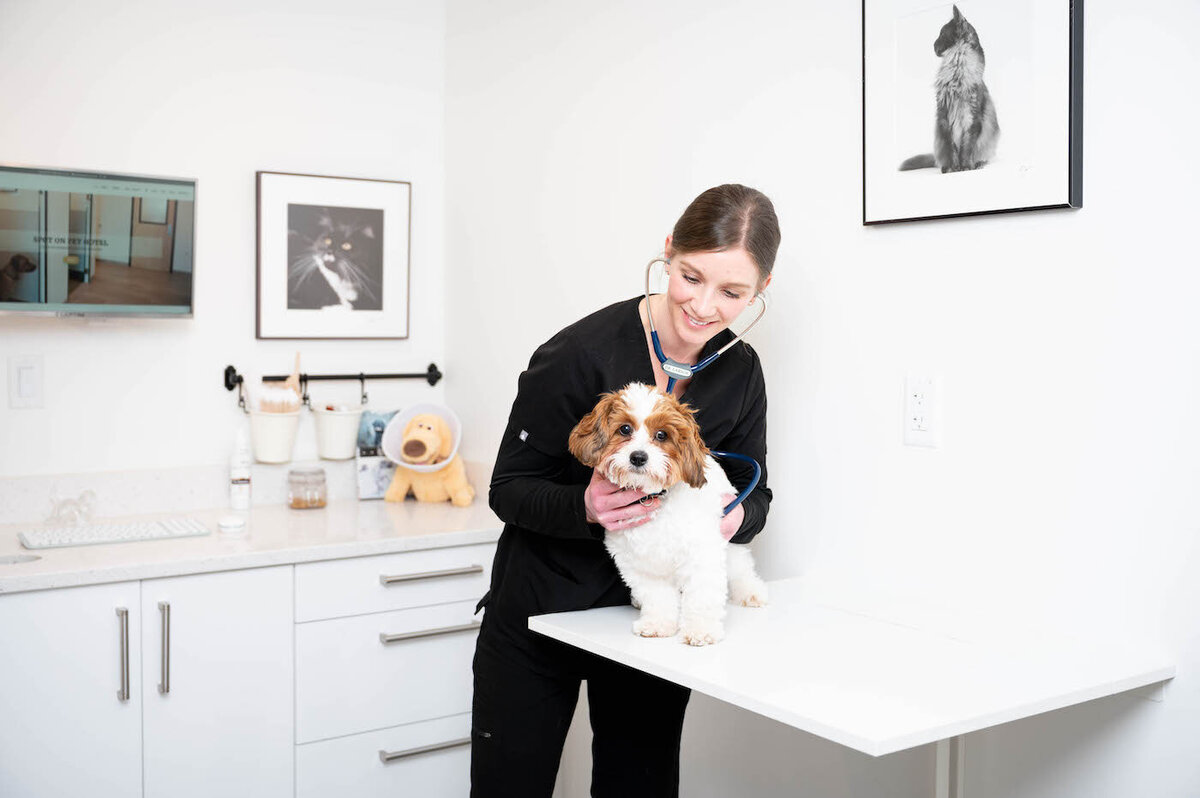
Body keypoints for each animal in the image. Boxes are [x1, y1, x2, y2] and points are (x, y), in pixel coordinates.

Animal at [564, 384, 768, 643]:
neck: (652, 497)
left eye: (661, 435)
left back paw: (751, 592)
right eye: (624, 429)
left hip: (729, 541)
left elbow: (702, 596)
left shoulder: (702, 555)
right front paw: (658, 624)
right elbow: (658, 597)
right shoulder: (641, 565)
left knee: (741, 568)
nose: (638, 457)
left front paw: (701, 630)